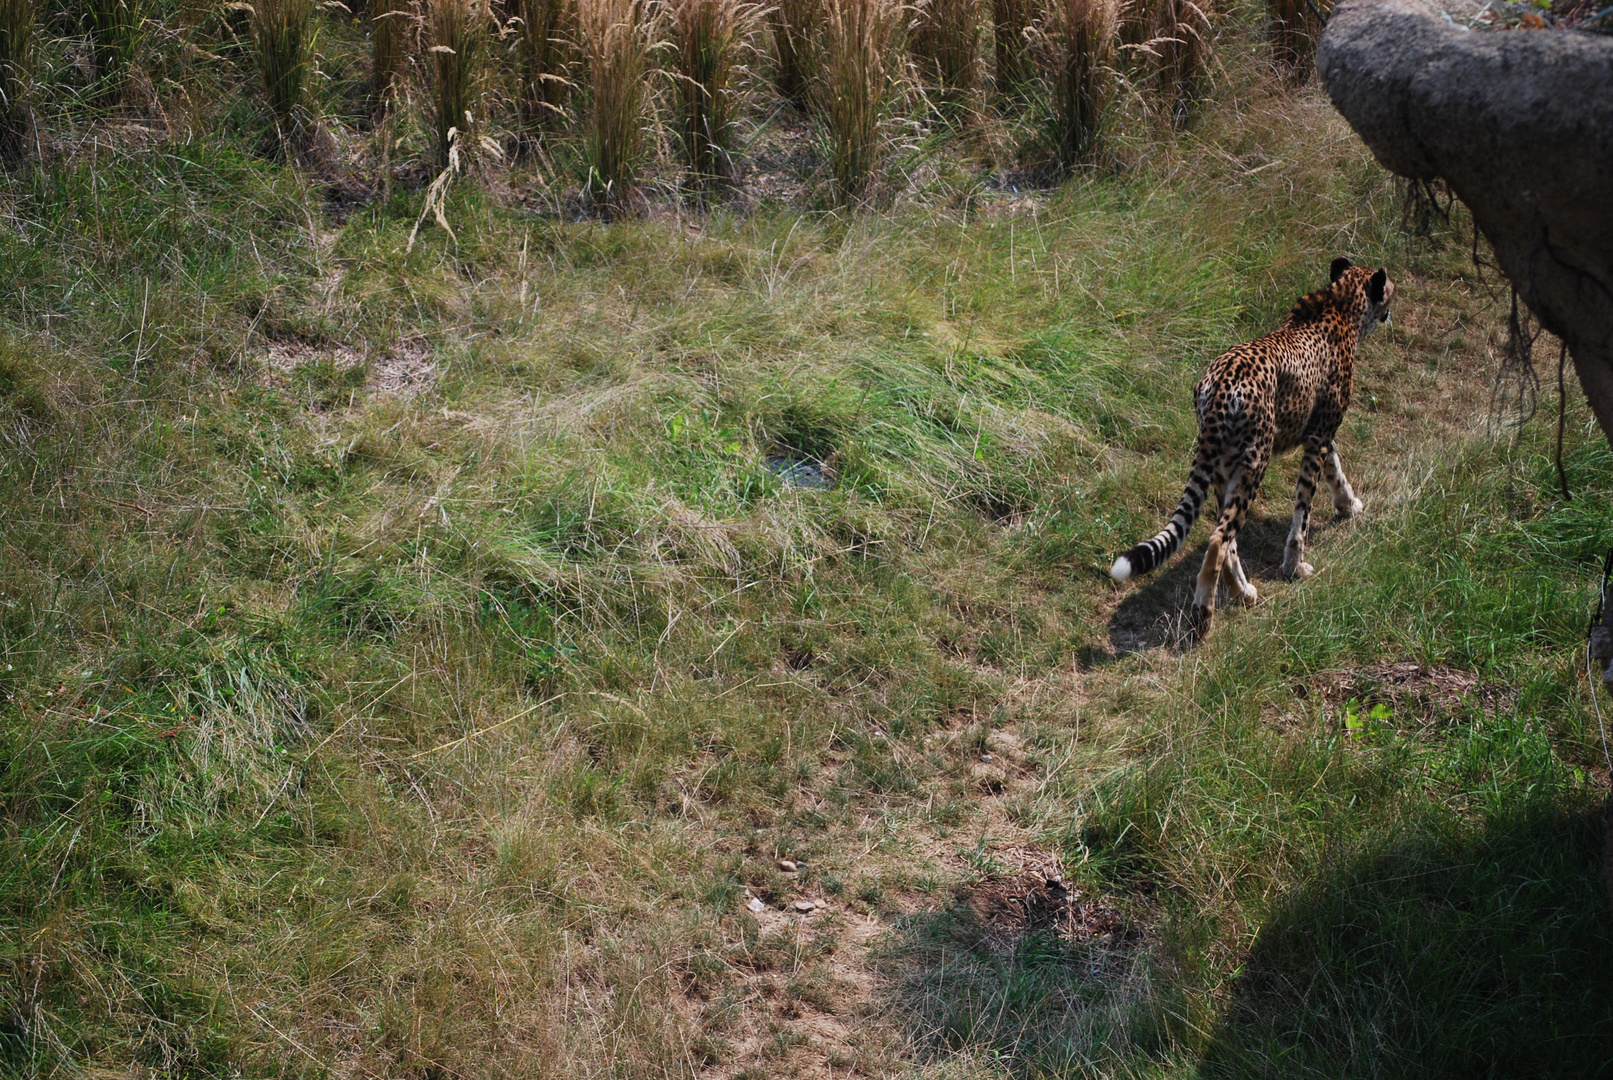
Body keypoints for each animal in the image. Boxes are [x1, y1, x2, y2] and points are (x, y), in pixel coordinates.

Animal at [1109, 256, 1400, 638]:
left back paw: (1242, 592)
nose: (1390, 308)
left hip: (1224, 466)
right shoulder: (1317, 438)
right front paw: (1294, 567)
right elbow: (1303, 512)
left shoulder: (1319, 432)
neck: (1340, 306)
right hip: (1254, 463)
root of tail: (1221, 380)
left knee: (1226, 536)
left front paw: (1349, 504)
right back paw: (1204, 614)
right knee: (1219, 539)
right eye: (1389, 290)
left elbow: (1336, 469)